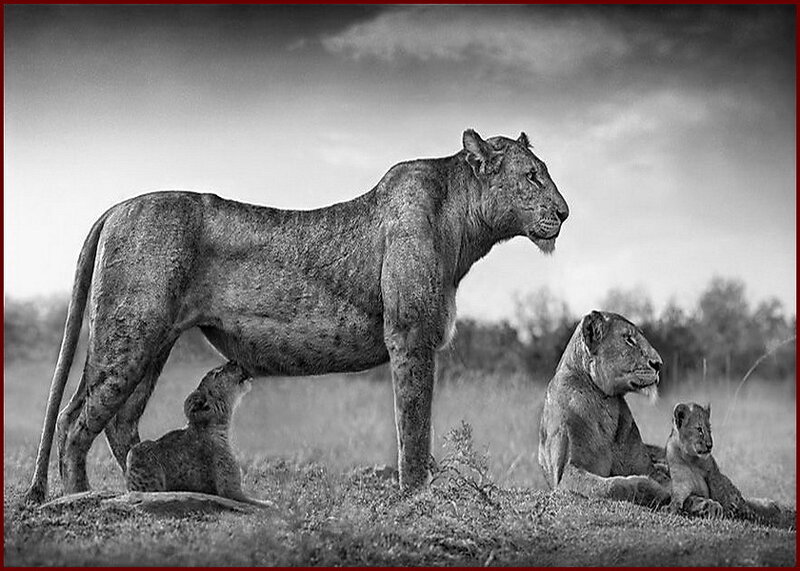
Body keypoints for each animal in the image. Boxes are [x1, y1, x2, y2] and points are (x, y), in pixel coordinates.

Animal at [538, 311, 670, 507]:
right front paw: (653, 490)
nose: (658, 364)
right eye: (629, 339)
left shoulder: (646, 467)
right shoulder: (566, 473)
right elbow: (611, 486)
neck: (605, 401)